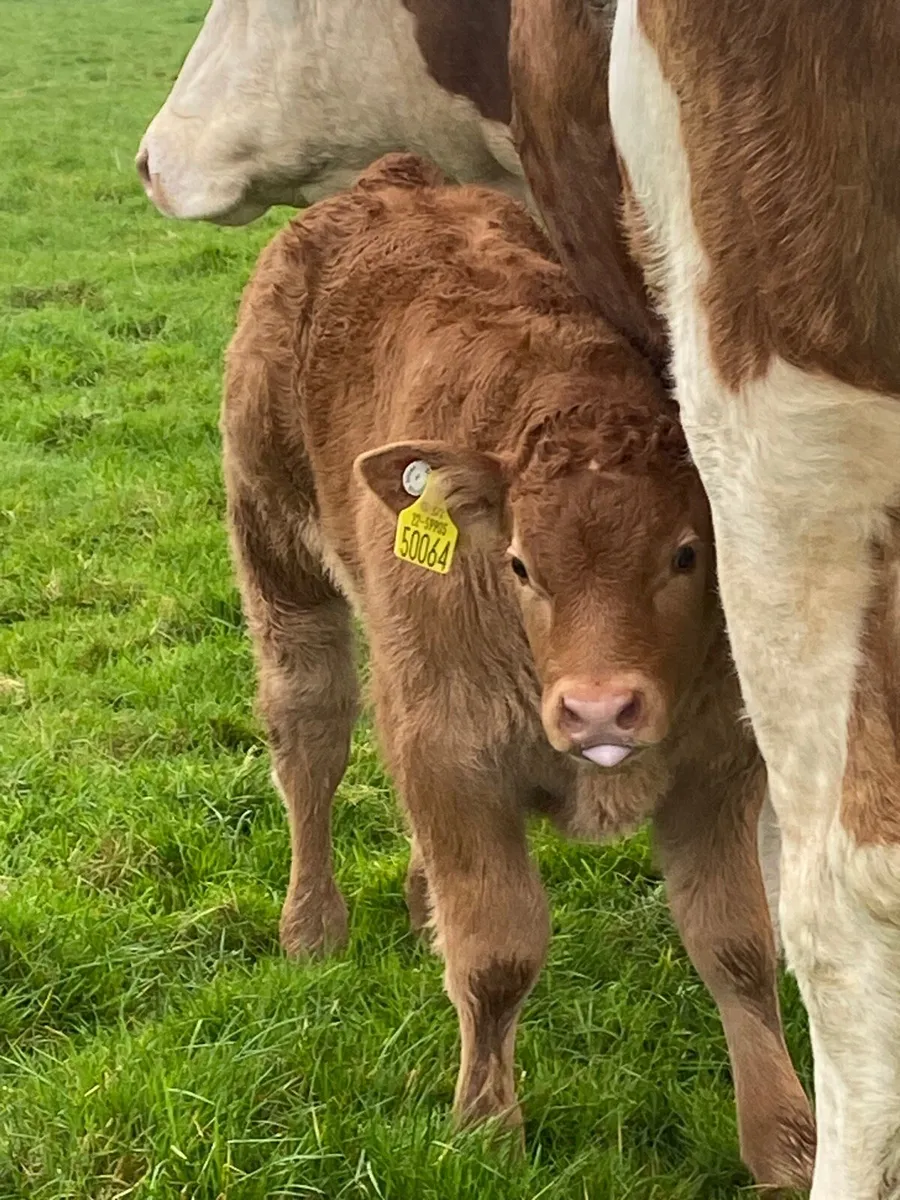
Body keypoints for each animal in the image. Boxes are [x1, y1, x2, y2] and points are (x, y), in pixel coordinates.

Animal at [221, 152, 815, 1188]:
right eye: (521, 564)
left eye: (687, 553)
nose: (600, 710)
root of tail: (390, 179)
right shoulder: (450, 756)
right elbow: (497, 953)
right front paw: (486, 1130)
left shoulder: (717, 767)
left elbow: (737, 946)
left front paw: (784, 1141)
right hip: (278, 558)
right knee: (311, 748)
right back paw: (312, 926)